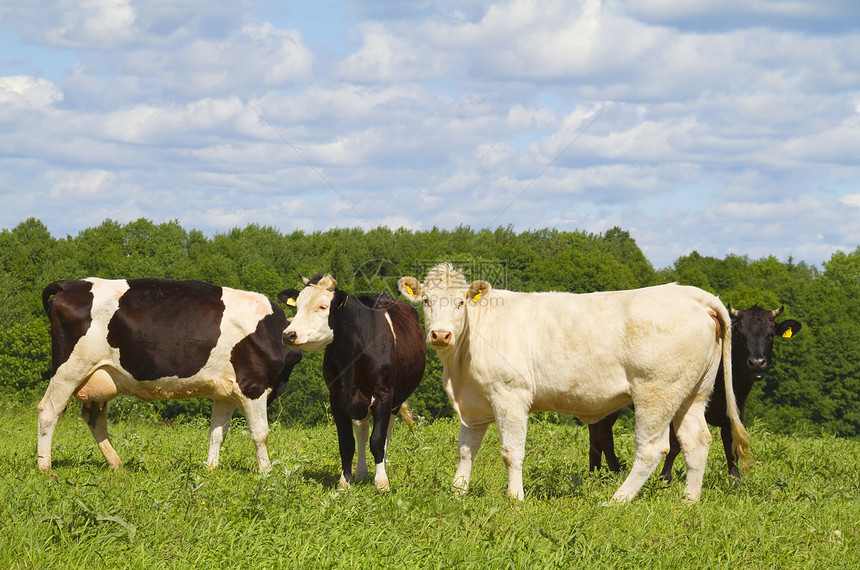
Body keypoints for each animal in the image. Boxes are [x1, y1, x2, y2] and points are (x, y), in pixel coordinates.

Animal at [38, 278, 304, 470]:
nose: (296, 335)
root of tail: (71, 284)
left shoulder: (225, 393)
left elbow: (217, 433)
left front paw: (211, 469)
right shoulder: (252, 386)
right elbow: (260, 433)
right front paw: (265, 472)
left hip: (99, 376)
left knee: (94, 418)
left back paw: (116, 464)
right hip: (69, 370)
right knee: (48, 411)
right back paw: (45, 468)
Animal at [280, 274, 424, 488]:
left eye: (323, 306)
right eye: (297, 306)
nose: (289, 334)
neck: (351, 355)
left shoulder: (383, 394)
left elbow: (378, 439)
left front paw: (382, 482)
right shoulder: (336, 397)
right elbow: (347, 442)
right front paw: (344, 481)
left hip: (395, 400)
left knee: (386, 434)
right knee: (362, 430)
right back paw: (361, 472)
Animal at [400, 262, 748, 502]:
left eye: (461, 303)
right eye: (427, 301)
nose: (440, 334)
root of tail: (692, 294)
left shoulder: (510, 395)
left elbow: (511, 451)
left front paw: (515, 498)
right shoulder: (473, 404)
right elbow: (465, 450)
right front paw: (458, 492)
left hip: (657, 391)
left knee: (652, 449)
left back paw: (617, 500)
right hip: (694, 392)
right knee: (696, 441)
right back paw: (688, 501)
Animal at [592, 304, 800, 478]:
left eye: (770, 335)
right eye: (740, 335)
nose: (757, 363)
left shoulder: (733, 415)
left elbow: (730, 449)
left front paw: (736, 482)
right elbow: (675, 446)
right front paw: (664, 478)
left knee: (596, 433)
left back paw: (594, 472)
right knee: (604, 435)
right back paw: (615, 472)